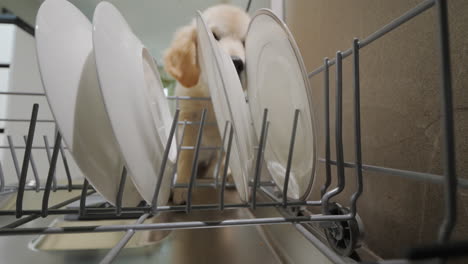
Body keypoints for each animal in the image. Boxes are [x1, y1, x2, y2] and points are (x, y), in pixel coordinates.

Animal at [165, 5, 250, 205]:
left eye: (245, 42)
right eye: (214, 36)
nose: (236, 63)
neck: (211, 96)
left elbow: (224, 156)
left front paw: (223, 175)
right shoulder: (188, 122)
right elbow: (186, 155)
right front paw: (181, 187)